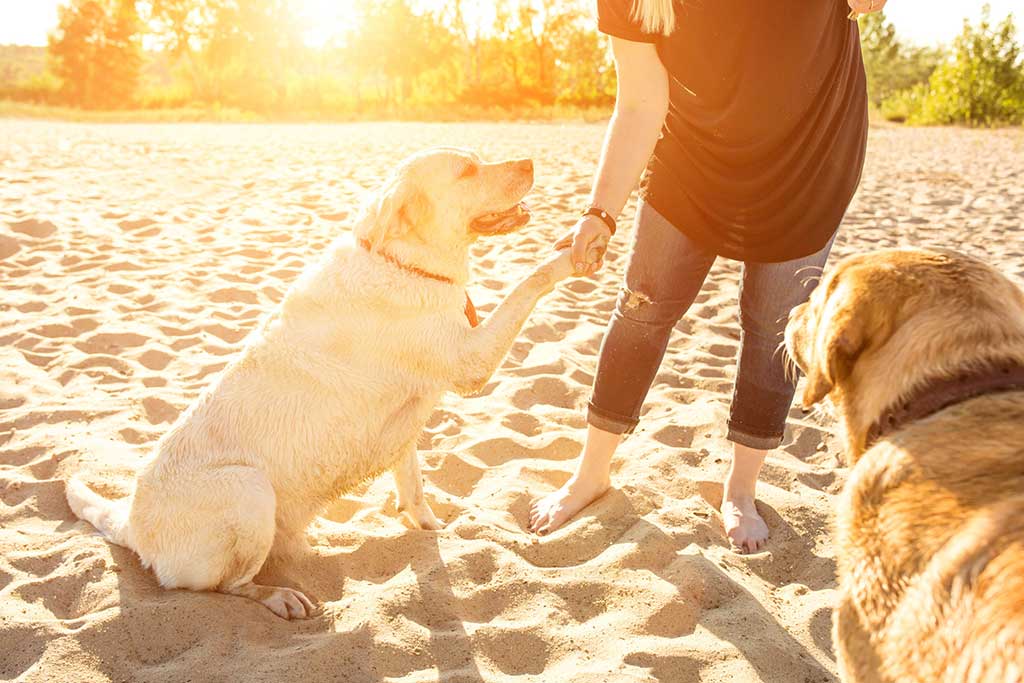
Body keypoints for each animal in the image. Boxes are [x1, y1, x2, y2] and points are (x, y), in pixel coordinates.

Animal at [66, 148, 577, 618]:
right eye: (467, 170)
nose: (530, 162)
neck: (400, 262)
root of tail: (133, 526)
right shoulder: (472, 359)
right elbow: (531, 280)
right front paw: (572, 254)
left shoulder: (405, 422)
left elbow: (413, 485)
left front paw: (430, 527)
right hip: (248, 489)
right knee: (228, 585)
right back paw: (280, 596)